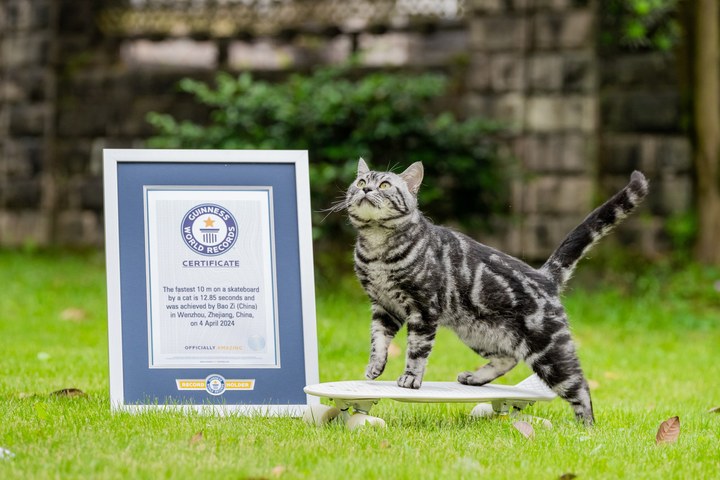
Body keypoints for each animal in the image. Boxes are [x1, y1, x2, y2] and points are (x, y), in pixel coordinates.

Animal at [340, 158, 648, 424]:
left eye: (384, 185)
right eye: (361, 181)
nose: (366, 189)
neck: (377, 249)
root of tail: (544, 275)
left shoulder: (423, 309)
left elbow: (416, 351)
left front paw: (410, 379)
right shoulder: (384, 307)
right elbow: (378, 342)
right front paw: (374, 368)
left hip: (549, 352)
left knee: (580, 386)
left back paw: (586, 427)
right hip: (478, 334)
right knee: (509, 358)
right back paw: (475, 378)